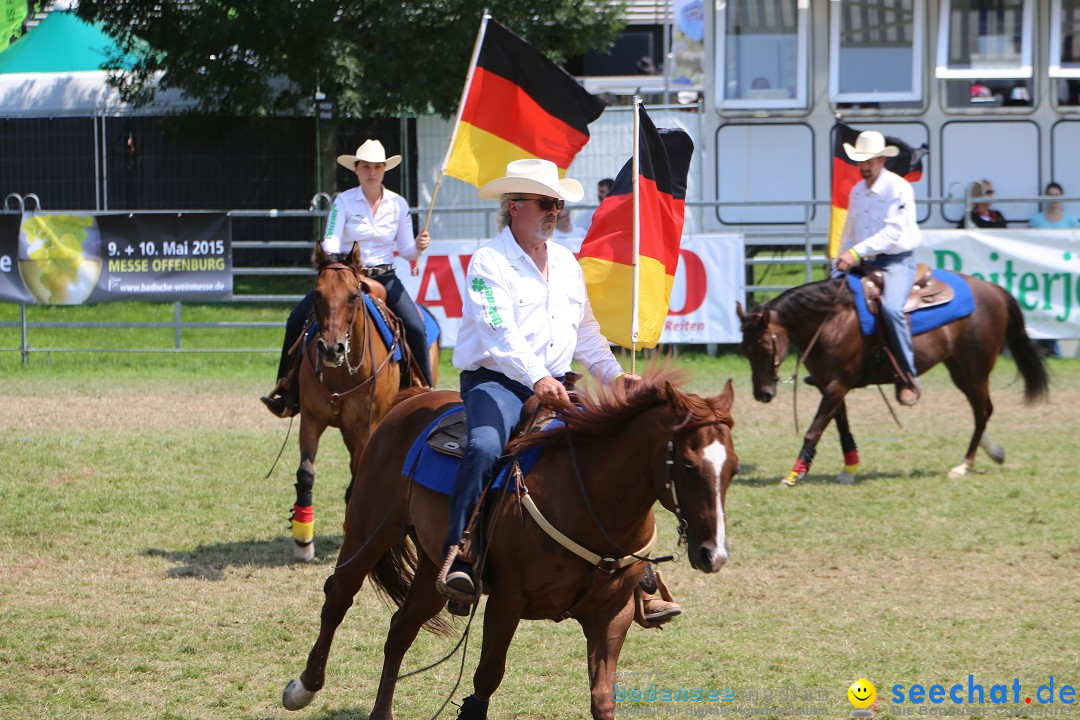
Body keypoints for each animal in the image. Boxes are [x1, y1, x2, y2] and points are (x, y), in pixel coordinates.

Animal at [282, 371, 738, 720]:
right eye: (688, 465)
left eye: (732, 468)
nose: (713, 555)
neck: (587, 496)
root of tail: (412, 401)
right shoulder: (507, 601)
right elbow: (487, 677)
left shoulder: (613, 614)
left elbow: (603, 699)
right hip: (369, 532)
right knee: (338, 597)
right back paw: (303, 687)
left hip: (434, 568)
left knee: (401, 628)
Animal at [291, 245, 438, 565]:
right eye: (317, 293)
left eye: (352, 296)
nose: (331, 349)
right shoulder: (311, 419)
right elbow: (306, 472)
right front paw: (302, 540)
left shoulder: (366, 426)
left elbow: (358, 478)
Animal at [734, 273, 1045, 487]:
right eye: (744, 349)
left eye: (765, 344)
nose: (762, 393)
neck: (831, 320)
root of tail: (993, 289)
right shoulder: (830, 385)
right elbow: (841, 426)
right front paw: (849, 469)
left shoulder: (837, 385)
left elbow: (815, 428)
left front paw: (794, 474)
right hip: (959, 368)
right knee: (980, 410)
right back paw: (992, 452)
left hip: (975, 368)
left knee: (982, 410)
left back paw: (964, 465)